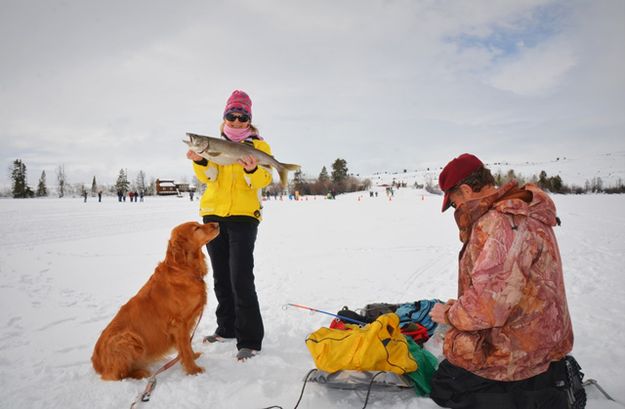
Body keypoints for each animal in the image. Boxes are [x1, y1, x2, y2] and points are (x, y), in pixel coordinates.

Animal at [91, 220, 219, 380]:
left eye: (198, 224)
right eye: (196, 228)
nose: (217, 224)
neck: (183, 269)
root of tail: (96, 362)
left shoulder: (185, 325)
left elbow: (187, 346)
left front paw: (193, 356)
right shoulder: (179, 323)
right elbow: (185, 348)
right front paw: (193, 370)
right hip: (128, 339)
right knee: (115, 375)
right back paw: (141, 373)